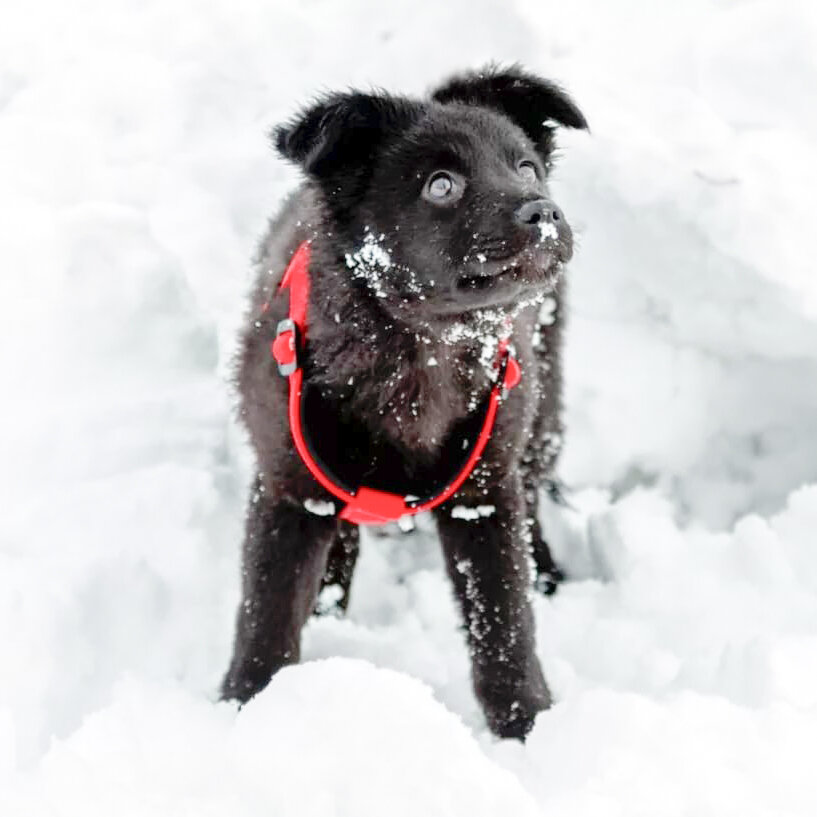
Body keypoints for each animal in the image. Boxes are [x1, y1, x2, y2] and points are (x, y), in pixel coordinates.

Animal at [222, 65, 588, 740]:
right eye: (441, 185)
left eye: (526, 167)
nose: (542, 210)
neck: (422, 353)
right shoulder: (287, 490)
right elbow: (266, 618)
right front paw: (243, 708)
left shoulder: (483, 498)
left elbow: (505, 625)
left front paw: (527, 728)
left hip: (540, 414)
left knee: (533, 495)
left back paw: (549, 571)